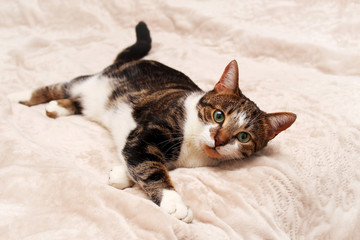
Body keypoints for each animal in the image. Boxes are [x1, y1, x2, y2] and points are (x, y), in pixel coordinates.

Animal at [7, 21, 296, 222]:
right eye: (219, 115)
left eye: (243, 136)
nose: (219, 139)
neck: (193, 148)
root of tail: (129, 61)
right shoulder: (148, 131)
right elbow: (150, 166)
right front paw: (175, 203)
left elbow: (142, 163)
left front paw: (120, 174)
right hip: (90, 81)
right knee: (58, 86)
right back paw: (21, 95)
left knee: (77, 101)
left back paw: (60, 107)